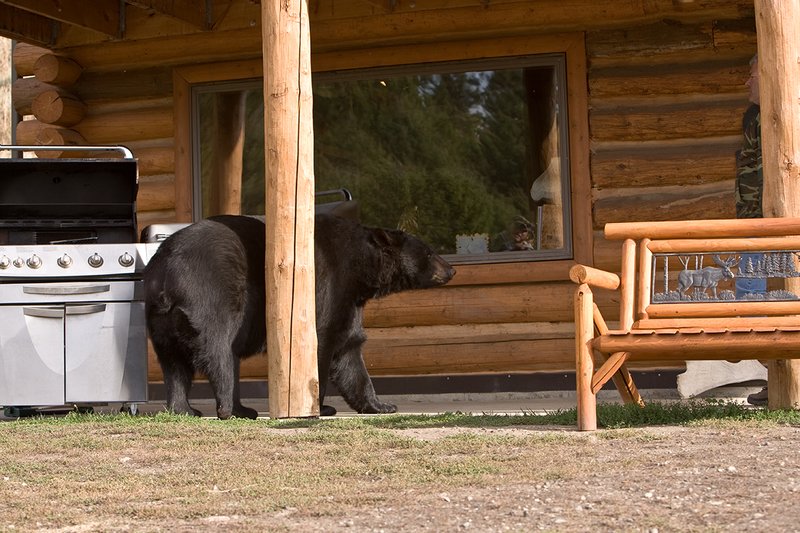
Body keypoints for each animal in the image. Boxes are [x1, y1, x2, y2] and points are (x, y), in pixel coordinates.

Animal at [143, 213, 455, 419]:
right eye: (430, 252)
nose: (452, 269)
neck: (361, 271)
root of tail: (165, 275)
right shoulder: (332, 286)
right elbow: (324, 345)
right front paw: (319, 406)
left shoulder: (350, 301)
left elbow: (350, 351)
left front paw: (381, 405)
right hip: (211, 298)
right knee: (219, 353)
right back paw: (230, 409)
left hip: (161, 323)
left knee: (174, 365)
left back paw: (186, 408)